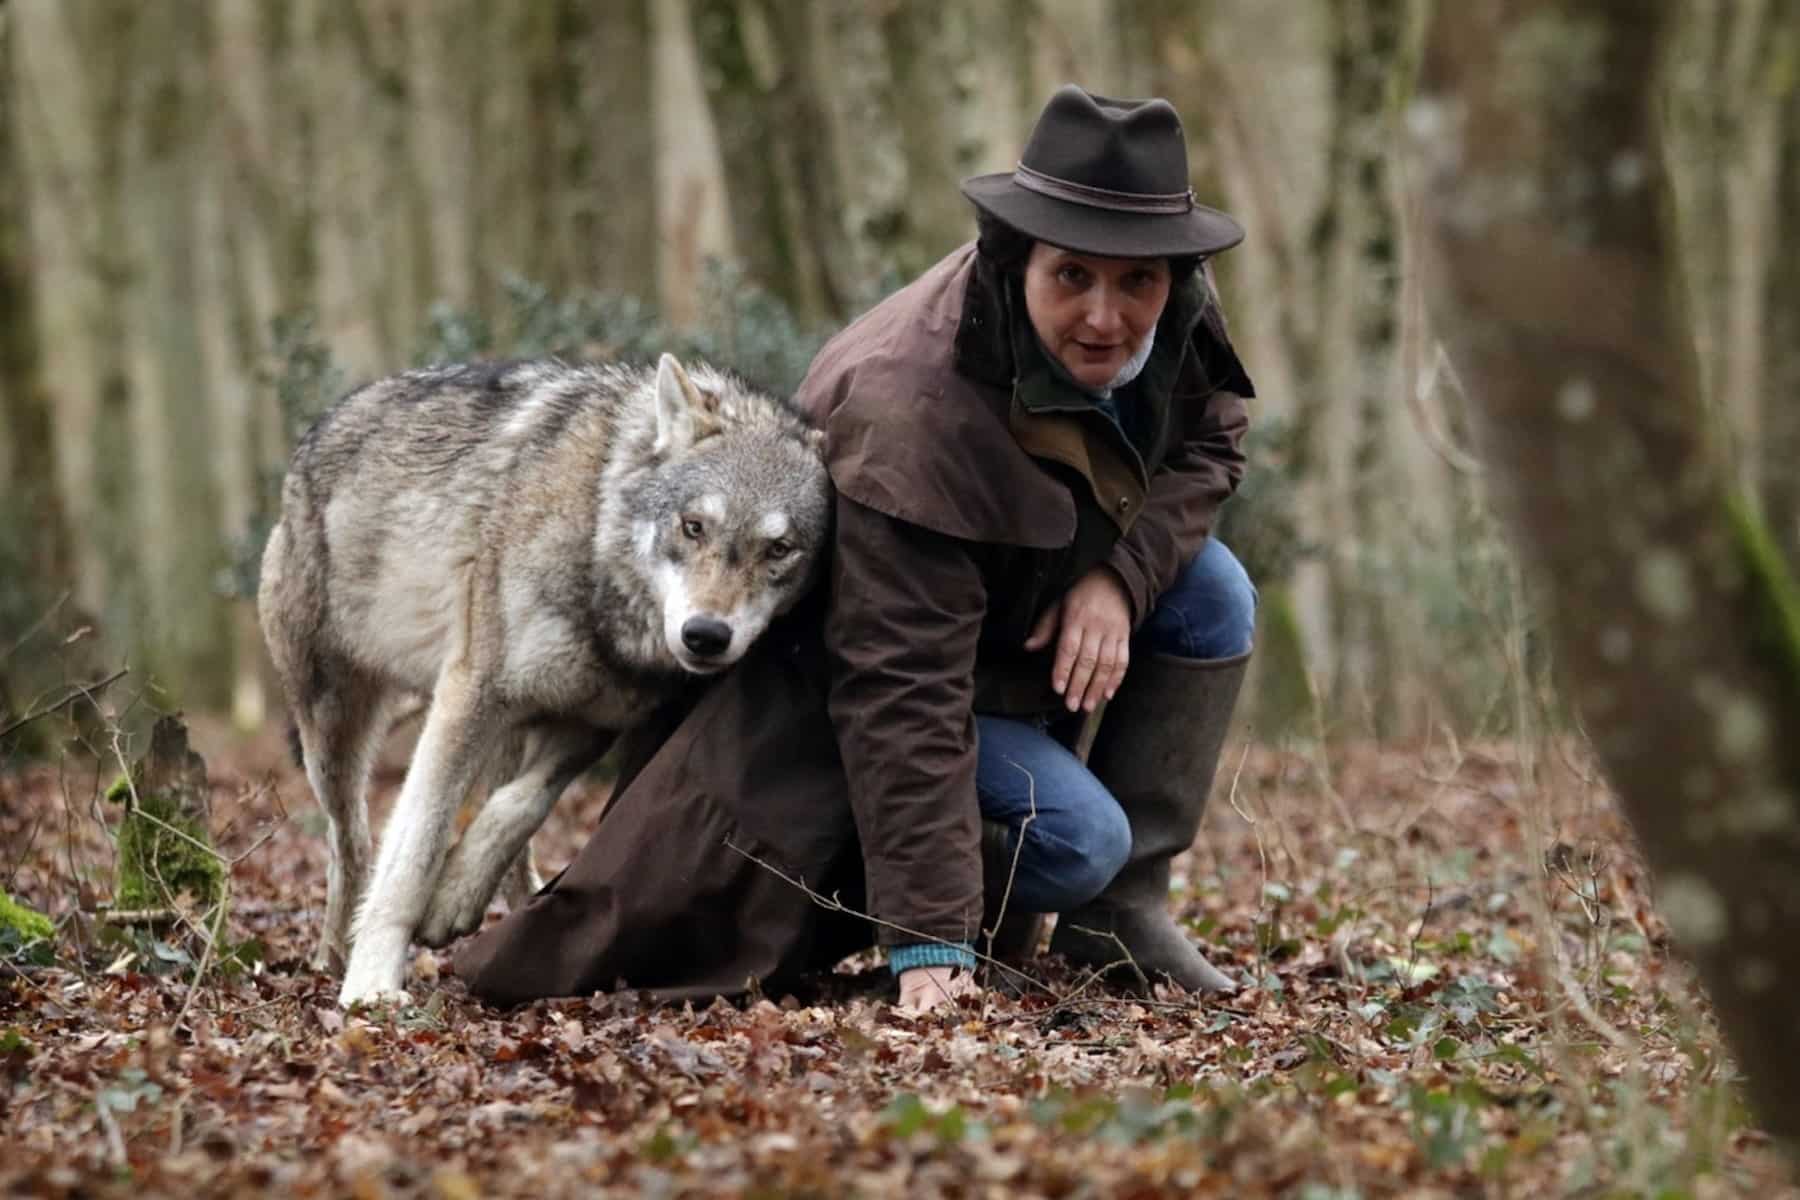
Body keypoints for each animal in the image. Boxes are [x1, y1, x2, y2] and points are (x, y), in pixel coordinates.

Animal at [257, 352, 831, 1007]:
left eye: (779, 549)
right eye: (693, 527)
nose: (706, 635)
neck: (594, 536)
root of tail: (321, 425)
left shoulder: (592, 723)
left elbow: (522, 805)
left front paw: (455, 896)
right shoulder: (473, 694)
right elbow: (414, 851)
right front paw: (374, 983)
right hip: (334, 734)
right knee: (348, 842)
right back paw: (335, 954)